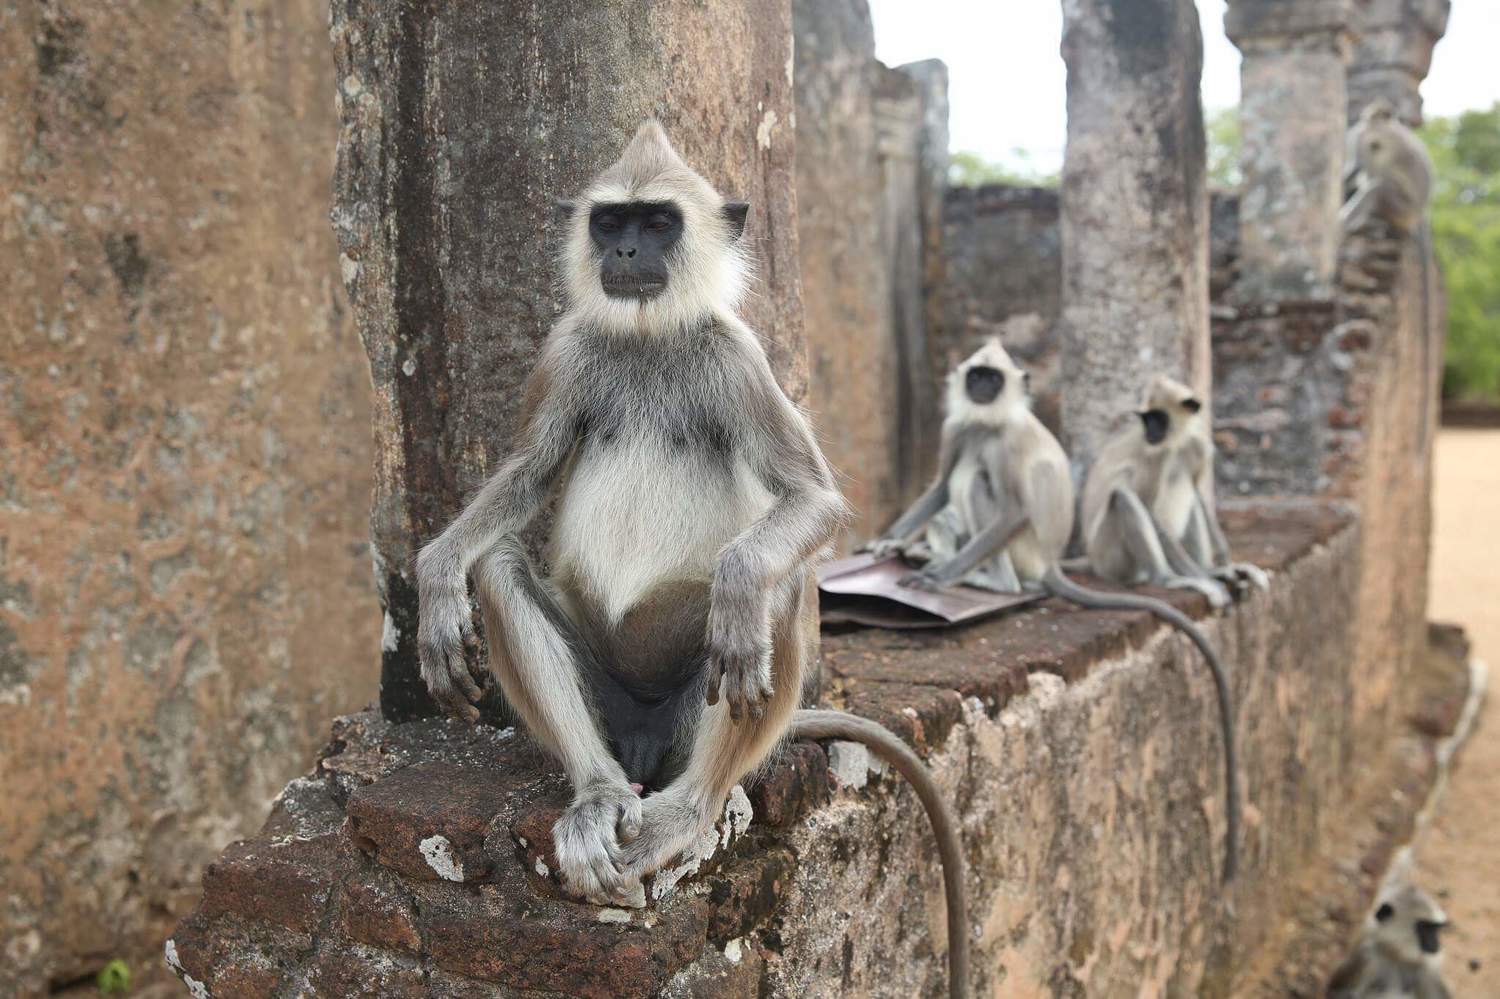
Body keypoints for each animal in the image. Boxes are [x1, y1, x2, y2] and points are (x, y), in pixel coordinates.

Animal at [415, 122, 970, 996]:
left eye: (659, 223)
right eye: (611, 222)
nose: (628, 250)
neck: (648, 338)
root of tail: (646, 735)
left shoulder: (737, 356)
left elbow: (809, 502)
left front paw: (741, 583)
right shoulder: (566, 349)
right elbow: (528, 475)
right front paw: (437, 573)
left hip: (689, 696)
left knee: (779, 586)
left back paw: (691, 804)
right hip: (610, 696)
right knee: (500, 565)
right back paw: (598, 790)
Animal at [863, 340, 1241, 882]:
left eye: (992, 378)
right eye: (976, 375)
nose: (981, 388)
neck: (989, 421)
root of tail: (1049, 563)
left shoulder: (1004, 442)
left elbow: (1014, 507)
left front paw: (936, 578)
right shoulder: (959, 426)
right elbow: (936, 486)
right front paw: (888, 542)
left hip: (1028, 549)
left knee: (980, 483)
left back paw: (990, 580)